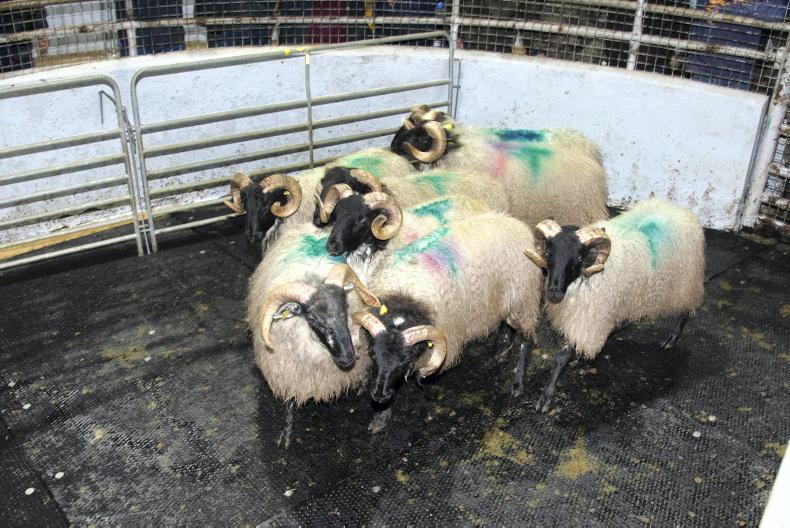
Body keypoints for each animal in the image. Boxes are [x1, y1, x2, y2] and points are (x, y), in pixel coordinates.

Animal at [247, 222, 381, 447]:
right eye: (312, 320)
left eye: (345, 309)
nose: (348, 357)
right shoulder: (290, 373)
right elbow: (289, 403)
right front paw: (286, 434)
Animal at [351, 211, 544, 432]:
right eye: (373, 354)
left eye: (405, 359)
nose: (379, 396)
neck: (406, 296)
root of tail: (517, 224)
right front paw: (381, 416)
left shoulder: (445, 338)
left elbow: (428, 375)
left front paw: (428, 392)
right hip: (505, 299)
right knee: (506, 325)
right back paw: (501, 352)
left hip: (523, 298)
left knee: (526, 340)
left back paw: (518, 382)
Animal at [522, 197, 705, 412]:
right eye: (549, 252)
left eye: (579, 258)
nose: (554, 292)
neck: (584, 278)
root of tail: (678, 209)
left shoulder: (590, 318)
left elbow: (561, 358)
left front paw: (547, 395)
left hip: (686, 280)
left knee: (685, 310)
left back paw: (672, 338)